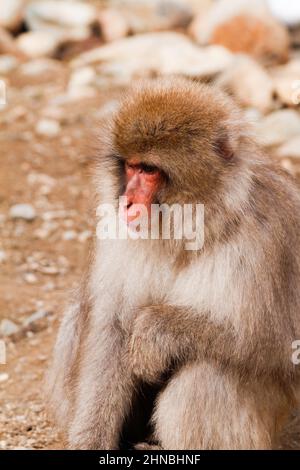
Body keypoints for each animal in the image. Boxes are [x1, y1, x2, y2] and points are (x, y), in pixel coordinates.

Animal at [48, 78, 300, 452]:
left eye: (150, 170)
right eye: (130, 165)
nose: (127, 200)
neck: (191, 229)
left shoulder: (264, 240)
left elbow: (274, 343)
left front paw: (156, 329)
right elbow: (111, 329)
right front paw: (90, 439)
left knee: (206, 373)